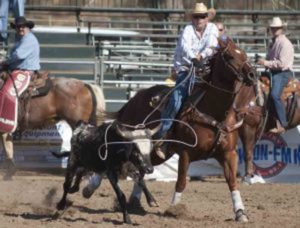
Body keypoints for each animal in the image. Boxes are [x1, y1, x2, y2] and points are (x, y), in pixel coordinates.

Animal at [111, 37, 256, 221]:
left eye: (244, 54)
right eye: (230, 56)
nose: (253, 74)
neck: (214, 111)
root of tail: (132, 100)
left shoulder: (229, 153)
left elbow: (232, 182)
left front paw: (240, 212)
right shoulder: (186, 153)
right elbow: (181, 182)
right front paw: (174, 209)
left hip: (154, 154)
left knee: (140, 172)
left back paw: (138, 203)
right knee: (132, 170)